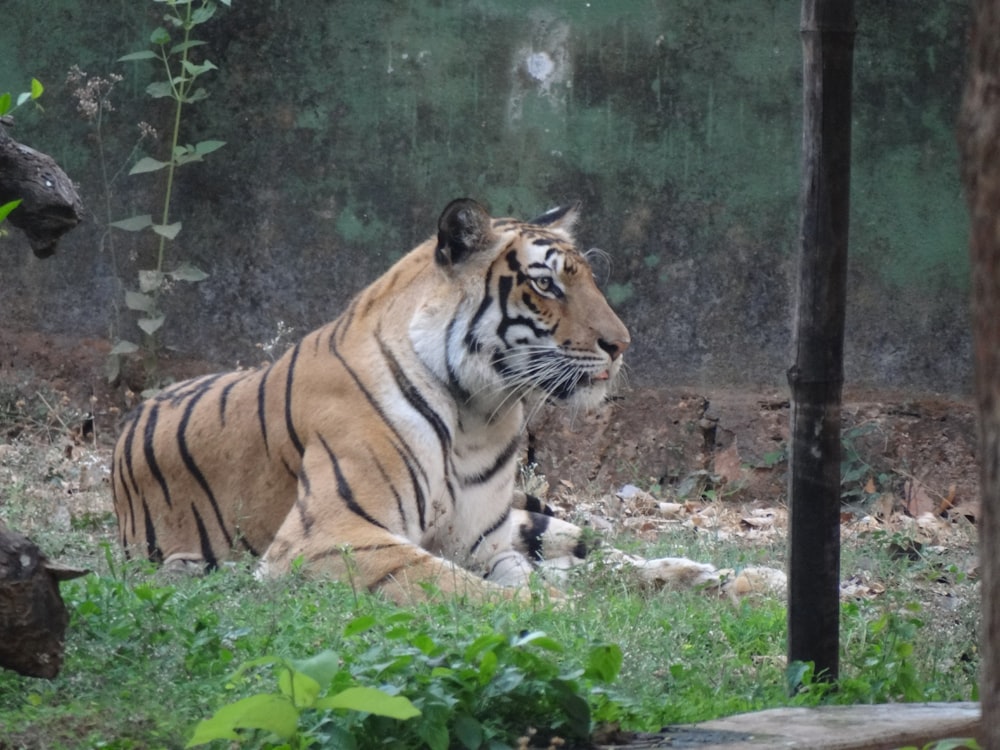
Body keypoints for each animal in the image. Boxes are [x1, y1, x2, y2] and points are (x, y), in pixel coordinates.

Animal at [113, 200, 720, 604]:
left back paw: (718, 578)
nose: (622, 344)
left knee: (597, 549)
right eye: (546, 285)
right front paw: (550, 610)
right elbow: (453, 582)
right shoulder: (329, 536)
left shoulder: (487, 541)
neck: (478, 415)